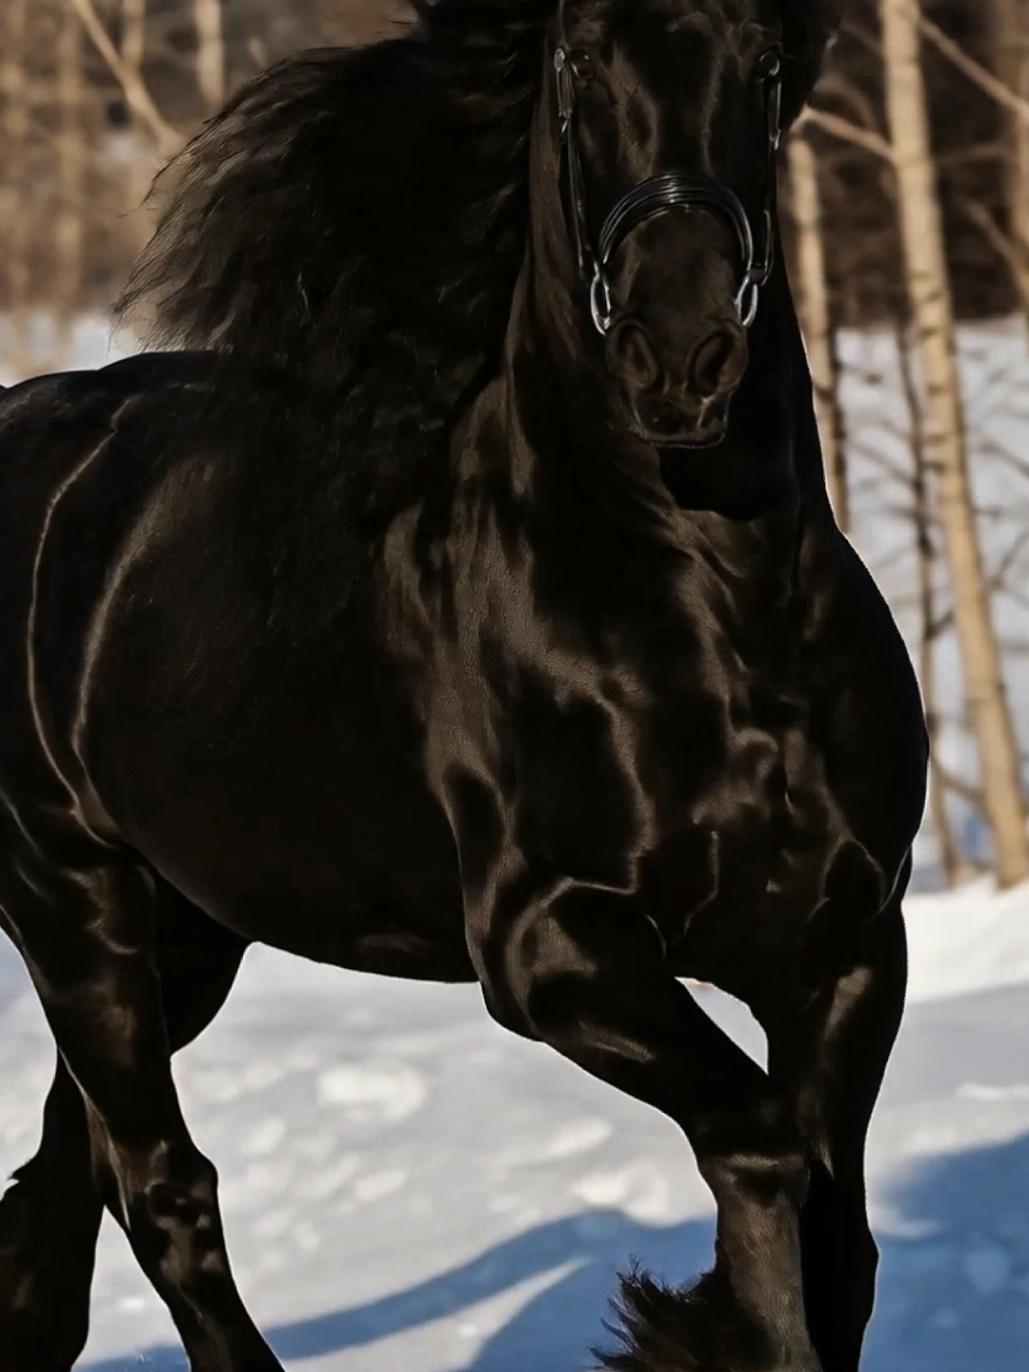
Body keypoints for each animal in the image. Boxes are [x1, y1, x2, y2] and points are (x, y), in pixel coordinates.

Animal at [0, 2, 928, 1369]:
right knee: (165, 1189)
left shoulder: (845, 944)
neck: (721, 615)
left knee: (77, 1182)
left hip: (187, 933)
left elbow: (842, 1247)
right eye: (580, 58)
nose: (681, 351)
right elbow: (763, 1159)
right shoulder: (554, 947)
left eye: (765, 65)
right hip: (70, 900)